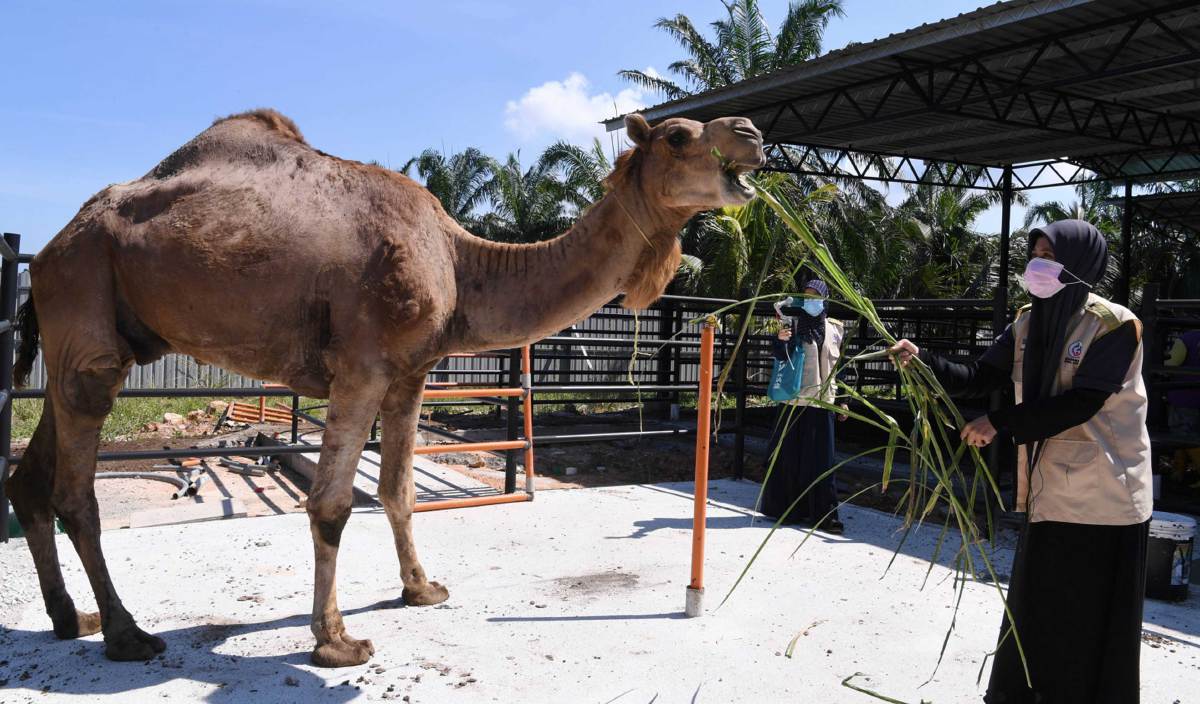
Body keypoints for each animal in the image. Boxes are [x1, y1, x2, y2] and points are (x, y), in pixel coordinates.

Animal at [7, 108, 758, 666]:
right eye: (679, 135)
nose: (749, 131)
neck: (460, 259)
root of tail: (45, 253)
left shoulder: (411, 373)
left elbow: (398, 489)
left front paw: (422, 590)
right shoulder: (362, 365)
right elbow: (332, 503)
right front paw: (335, 641)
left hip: (92, 334)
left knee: (31, 475)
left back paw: (69, 617)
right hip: (85, 303)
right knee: (77, 491)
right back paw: (126, 634)